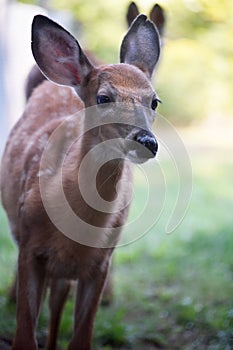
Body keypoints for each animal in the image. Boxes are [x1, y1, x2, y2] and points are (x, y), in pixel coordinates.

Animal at [1, 11, 162, 350]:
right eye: (103, 97)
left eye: (154, 101)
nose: (146, 141)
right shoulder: (29, 248)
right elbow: (24, 337)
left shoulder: (101, 262)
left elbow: (81, 339)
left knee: (58, 299)